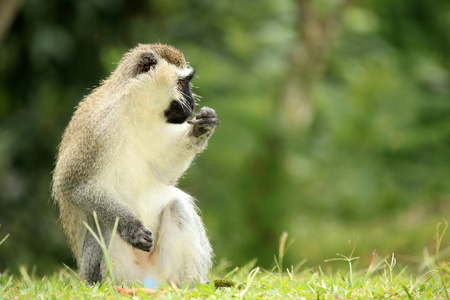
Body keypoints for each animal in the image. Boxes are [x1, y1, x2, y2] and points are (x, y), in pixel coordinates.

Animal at [52, 42, 218, 286]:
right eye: (181, 83)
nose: (192, 103)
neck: (133, 108)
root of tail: (146, 281)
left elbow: (163, 172)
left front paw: (202, 127)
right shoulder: (98, 129)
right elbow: (76, 187)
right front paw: (132, 228)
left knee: (178, 207)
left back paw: (188, 285)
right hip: (103, 272)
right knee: (103, 222)